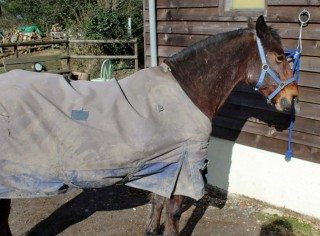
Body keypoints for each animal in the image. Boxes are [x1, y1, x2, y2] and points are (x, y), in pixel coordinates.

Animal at [0, 16, 300, 236]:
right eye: (278, 57)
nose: (292, 98)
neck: (187, 91)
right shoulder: (184, 167)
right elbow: (173, 213)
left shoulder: (164, 165)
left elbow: (156, 204)